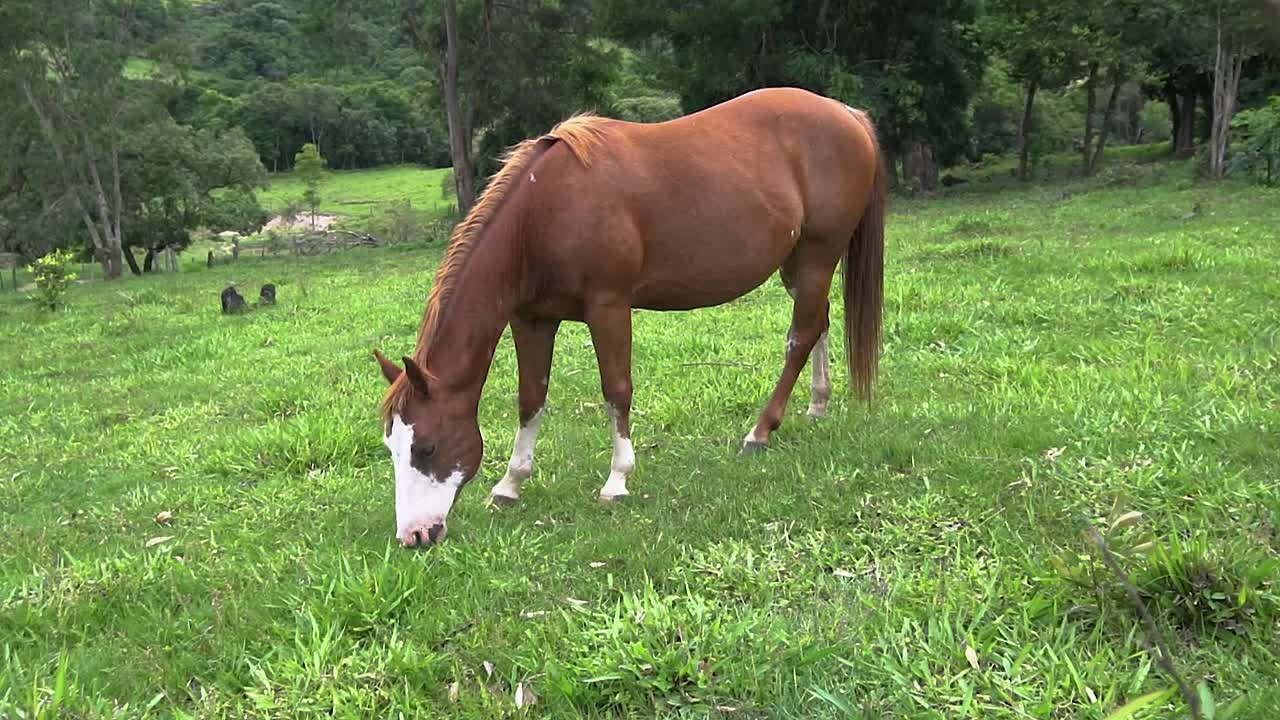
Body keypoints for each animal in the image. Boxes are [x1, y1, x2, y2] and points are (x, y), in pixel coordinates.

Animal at [374, 86, 886, 547]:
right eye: (391, 447)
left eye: (426, 447)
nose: (414, 536)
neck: (545, 211)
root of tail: (847, 114)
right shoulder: (532, 320)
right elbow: (530, 398)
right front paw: (510, 484)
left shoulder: (609, 307)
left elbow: (616, 390)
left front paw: (617, 481)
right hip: (797, 263)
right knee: (819, 323)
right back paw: (817, 404)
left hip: (819, 254)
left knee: (800, 335)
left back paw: (760, 432)